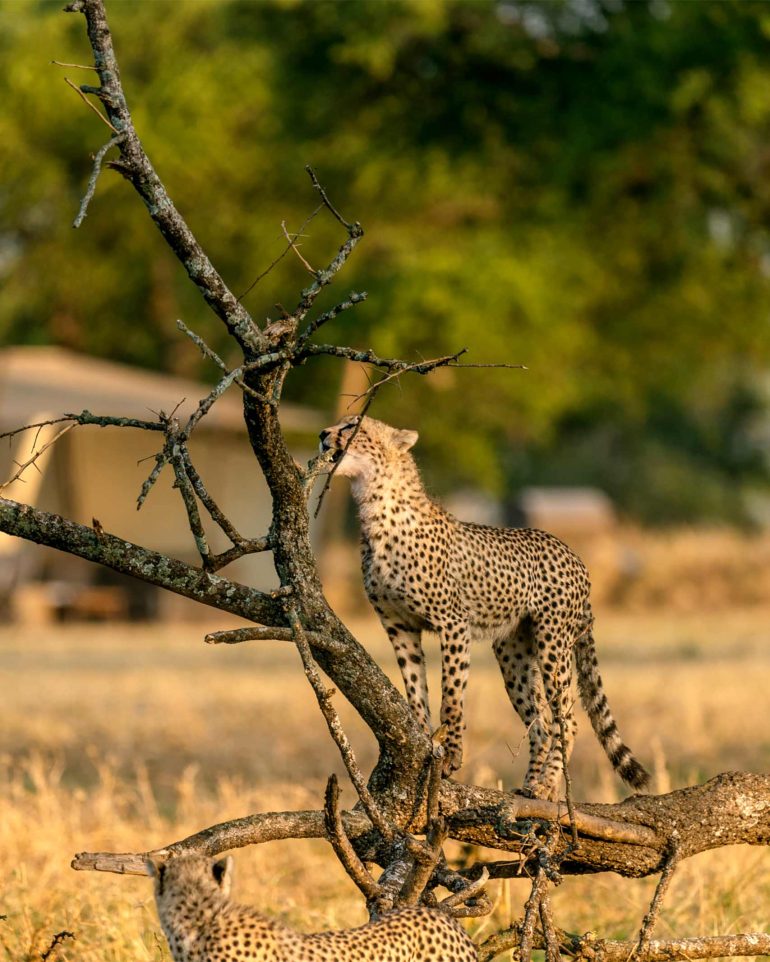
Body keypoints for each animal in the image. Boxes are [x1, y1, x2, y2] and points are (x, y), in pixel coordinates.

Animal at [319, 414, 649, 800]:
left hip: (552, 643)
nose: (323, 434)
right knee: (541, 723)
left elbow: (451, 696)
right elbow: (416, 690)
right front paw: (424, 740)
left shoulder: (453, 624)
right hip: (513, 653)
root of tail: (575, 556)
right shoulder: (399, 625)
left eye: (353, 426)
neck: (376, 509)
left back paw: (545, 785)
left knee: (567, 719)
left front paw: (451, 755)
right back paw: (533, 786)